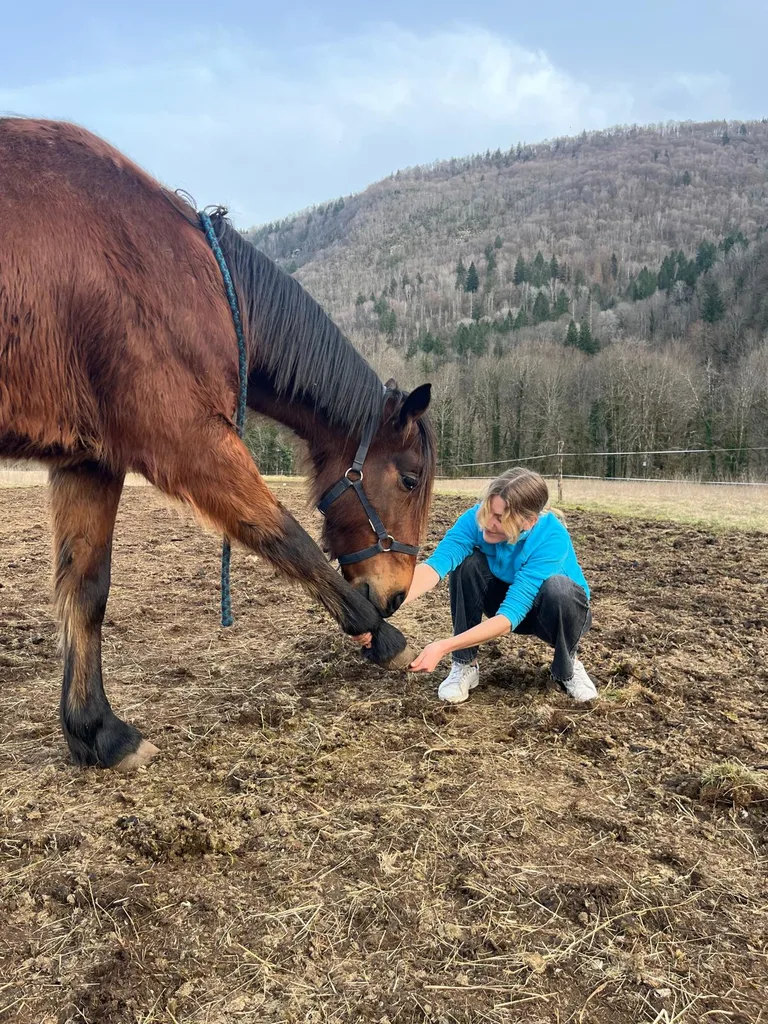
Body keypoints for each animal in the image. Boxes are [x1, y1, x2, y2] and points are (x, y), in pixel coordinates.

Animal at [0, 118, 435, 771]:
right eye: (408, 480)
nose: (397, 594)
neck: (184, 273)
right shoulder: (189, 437)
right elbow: (286, 536)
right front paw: (382, 638)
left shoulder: (90, 460)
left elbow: (86, 589)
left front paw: (97, 730)